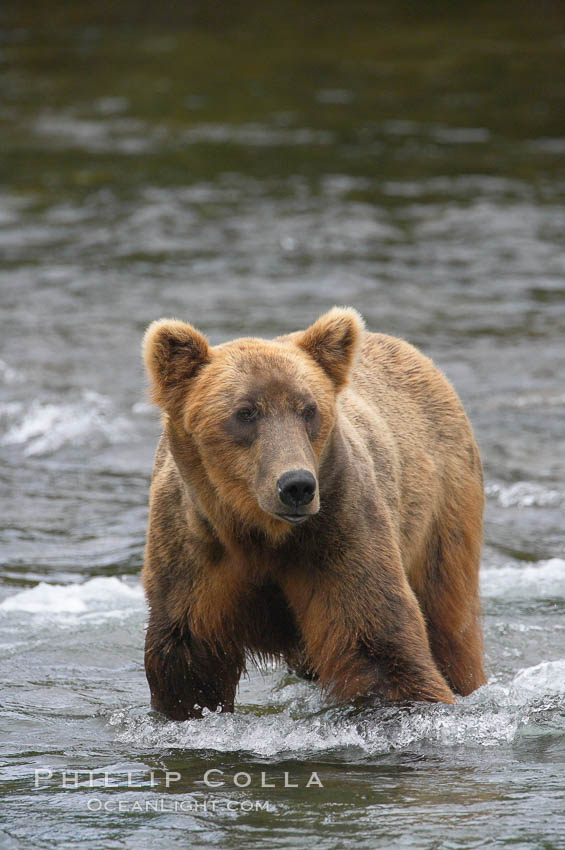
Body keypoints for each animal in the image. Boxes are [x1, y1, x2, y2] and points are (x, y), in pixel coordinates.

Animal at [141, 304, 484, 716]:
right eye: (245, 412)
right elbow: (186, 664)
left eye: (309, 409)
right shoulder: (192, 552)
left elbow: (378, 646)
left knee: (450, 622)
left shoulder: (339, 531)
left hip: (442, 511)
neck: (257, 531)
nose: (296, 486)